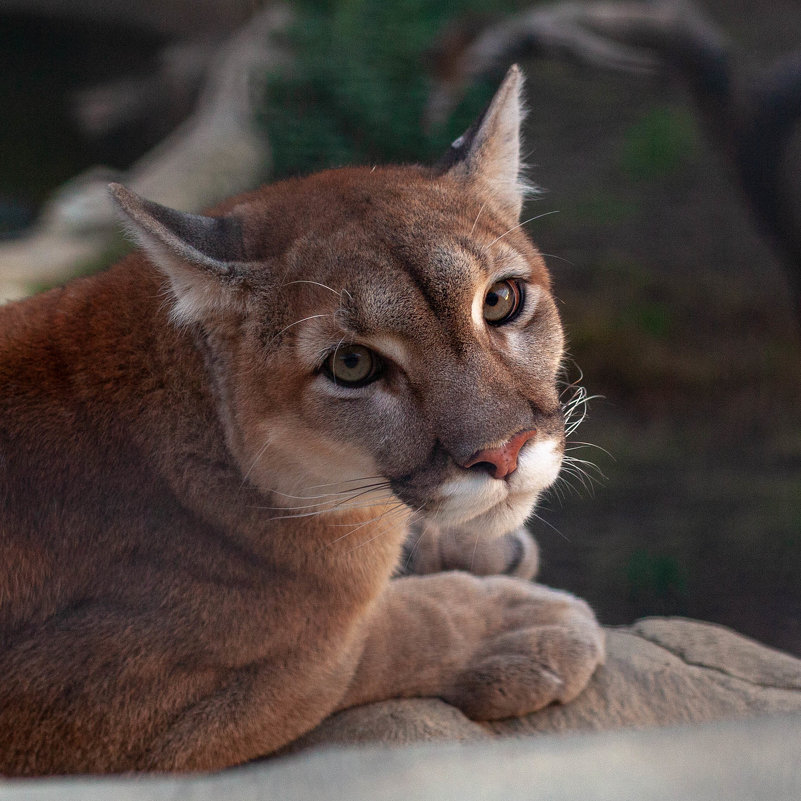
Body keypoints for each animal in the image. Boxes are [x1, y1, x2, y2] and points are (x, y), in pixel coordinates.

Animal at [0, 69, 600, 776]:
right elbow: (354, 650)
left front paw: (476, 549)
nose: (505, 451)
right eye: (352, 364)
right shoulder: (105, 710)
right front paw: (518, 626)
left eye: (501, 300)